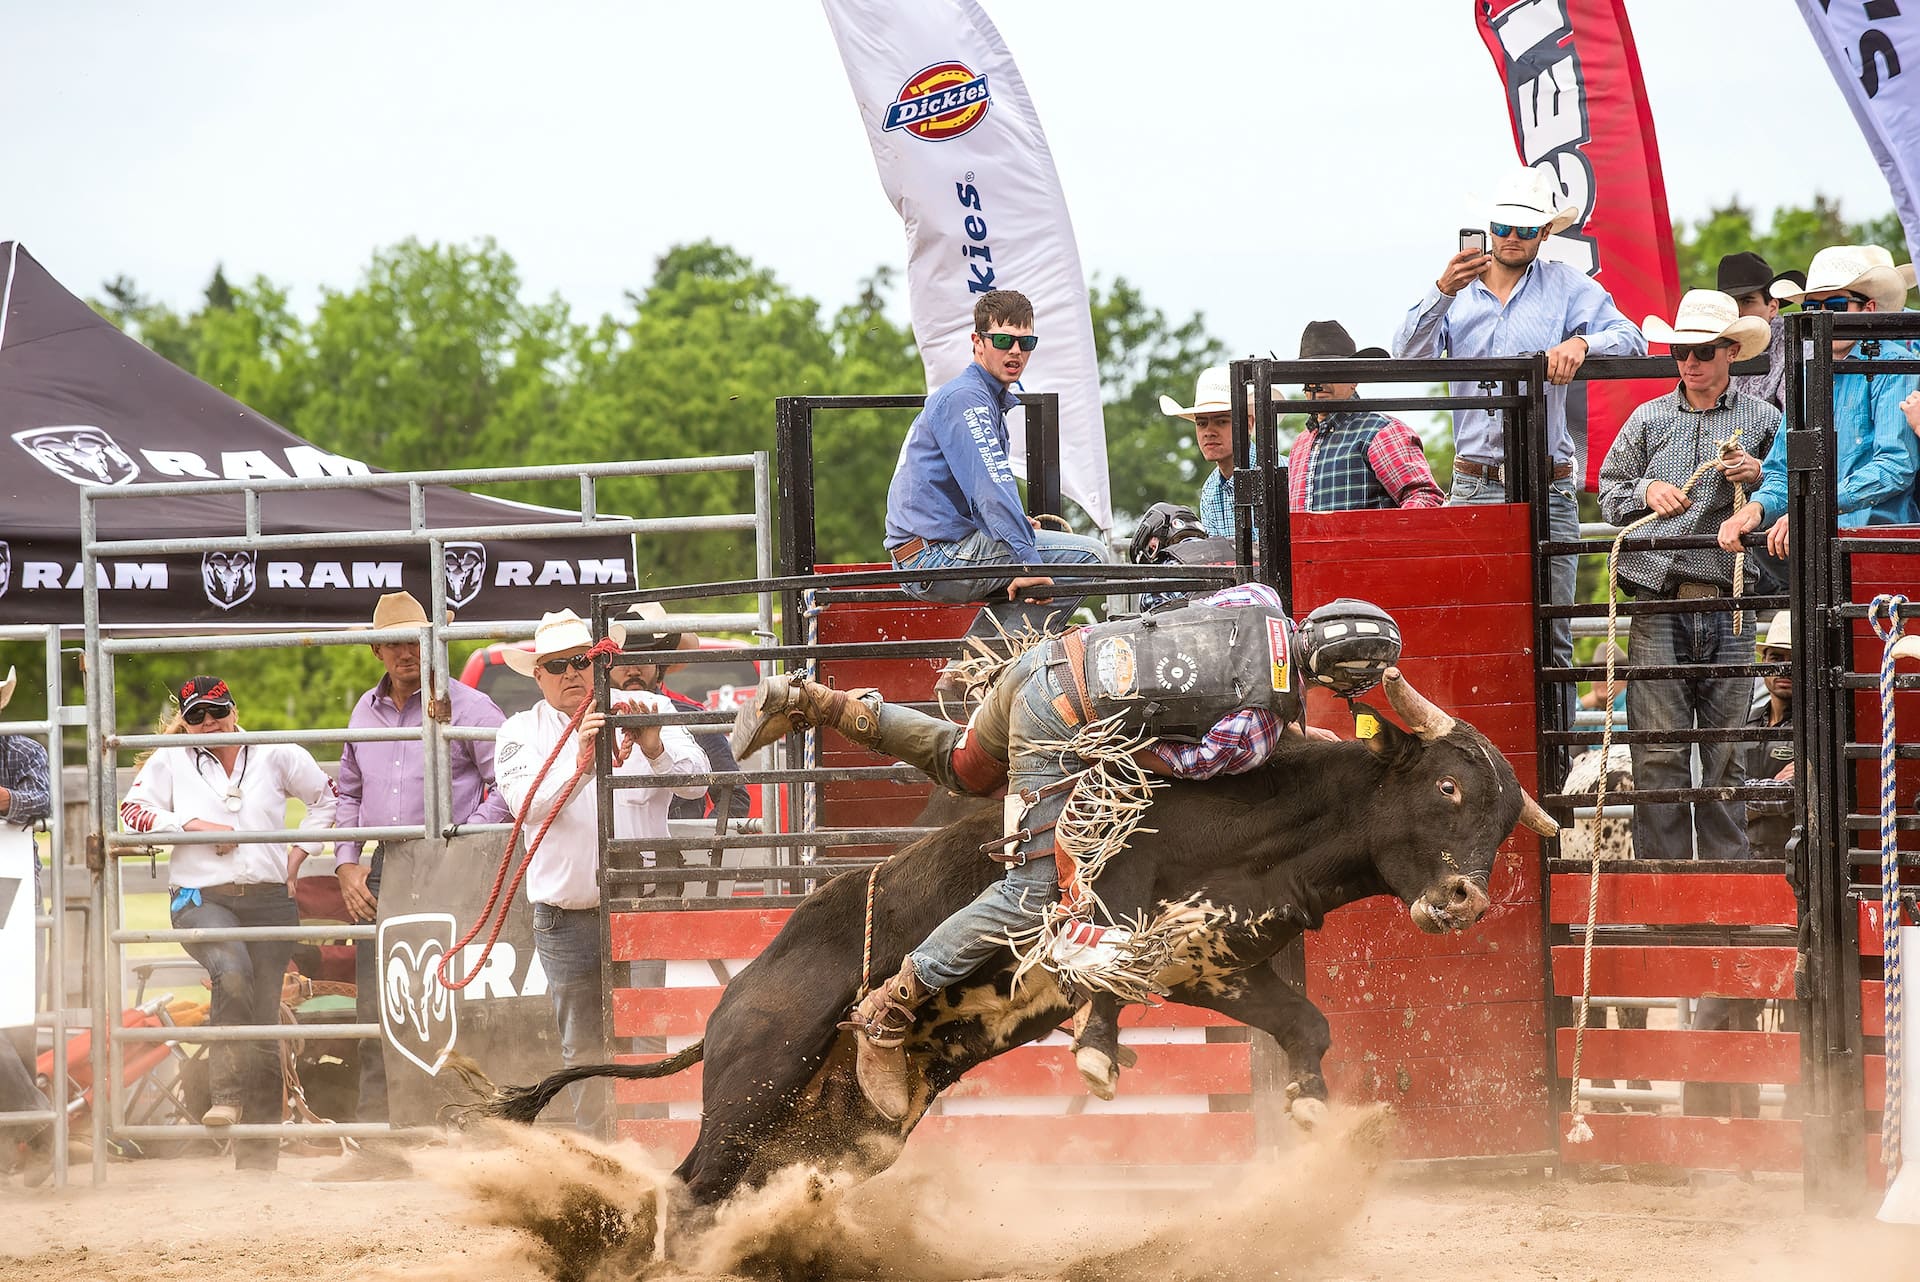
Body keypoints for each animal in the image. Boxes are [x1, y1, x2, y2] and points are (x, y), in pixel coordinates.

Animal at [483, 671, 1559, 1212]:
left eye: (1507, 818)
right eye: (1449, 789)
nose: (1463, 898)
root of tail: (724, 1008)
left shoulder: (1214, 962)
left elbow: (1307, 1024)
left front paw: (1306, 1108)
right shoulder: (1109, 906)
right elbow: (1101, 974)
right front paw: (1097, 1057)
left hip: (837, 1134)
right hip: (759, 1080)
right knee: (687, 1188)